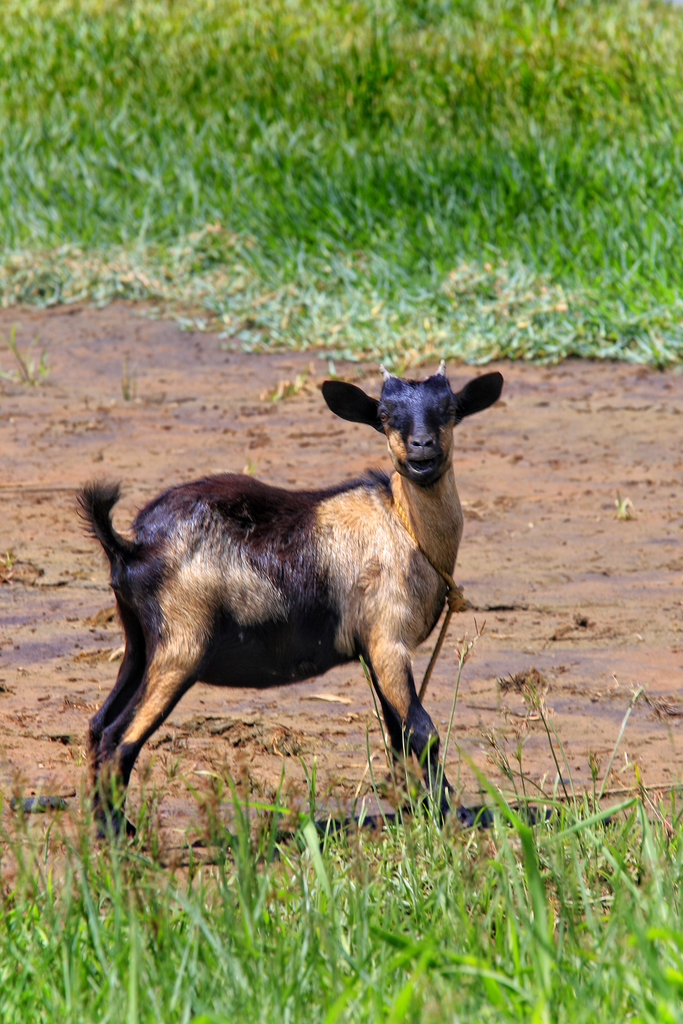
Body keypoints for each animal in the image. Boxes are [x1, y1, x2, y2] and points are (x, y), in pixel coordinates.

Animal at [78, 362, 503, 832]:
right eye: (385, 416)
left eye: (449, 410)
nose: (422, 446)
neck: (402, 524)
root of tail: (131, 544)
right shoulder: (388, 640)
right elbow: (423, 730)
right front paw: (454, 813)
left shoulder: (375, 648)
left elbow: (398, 733)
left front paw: (416, 809)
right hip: (182, 645)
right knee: (120, 737)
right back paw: (117, 832)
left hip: (140, 641)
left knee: (98, 725)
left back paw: (105, 825)